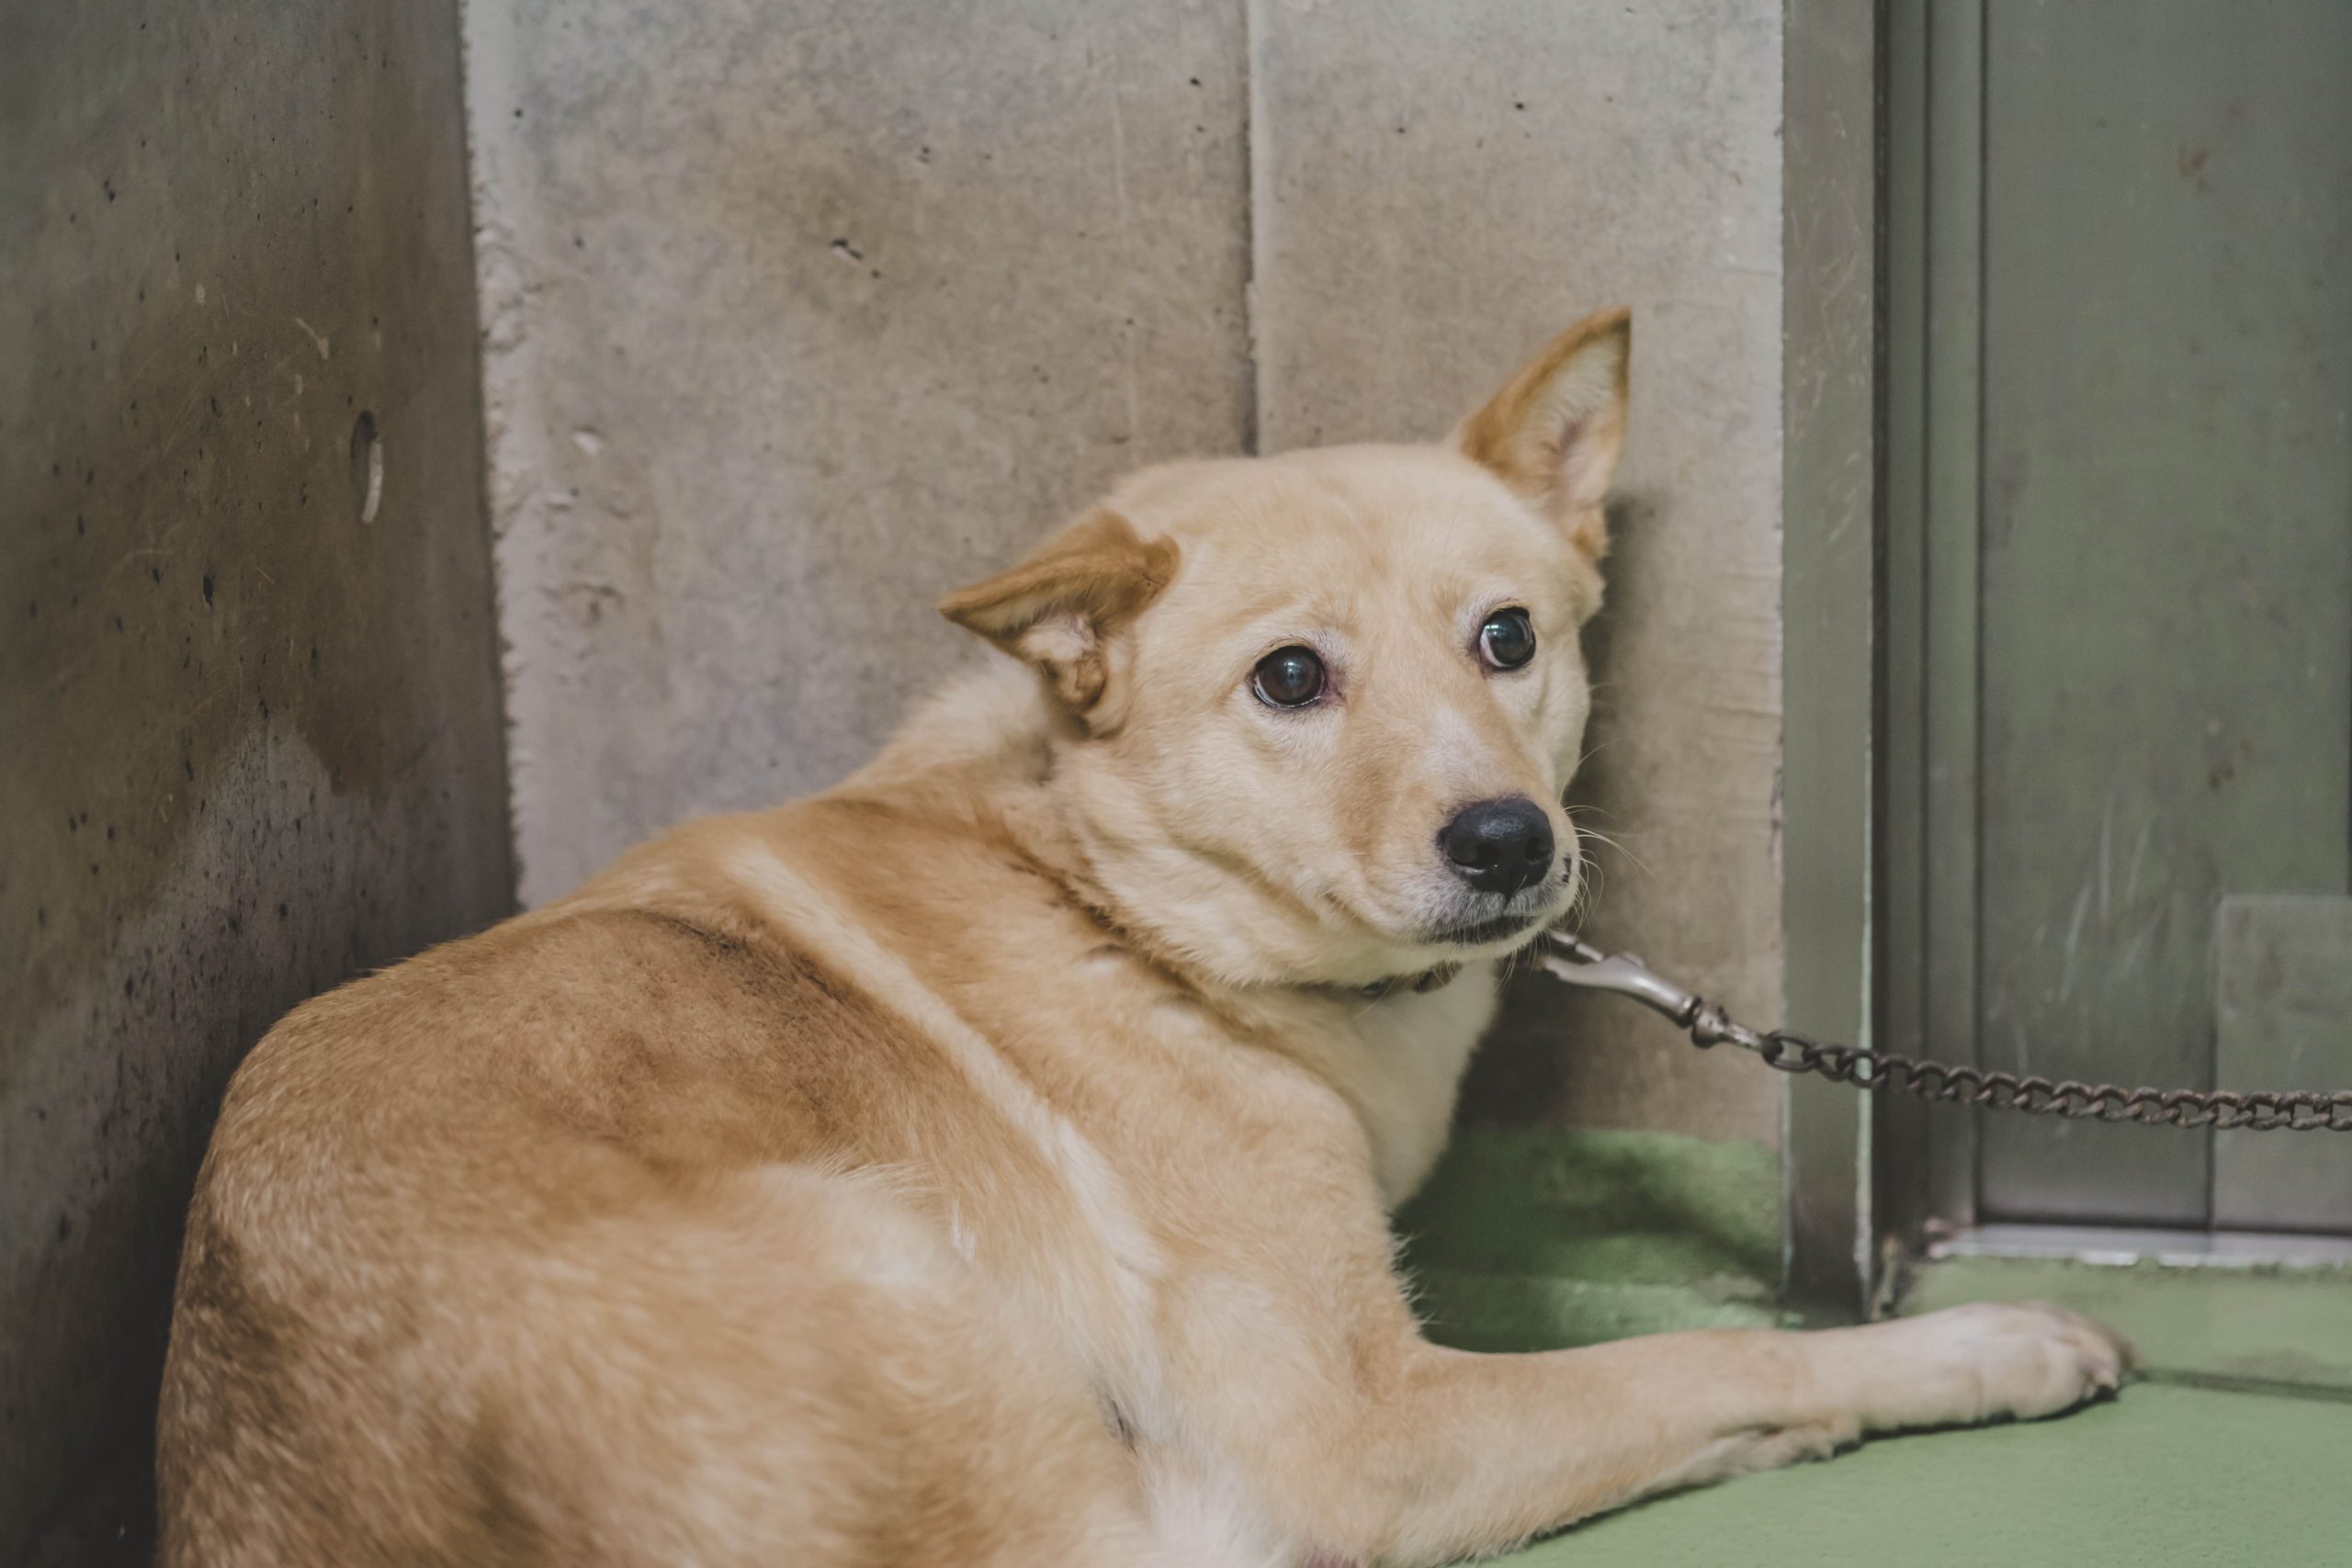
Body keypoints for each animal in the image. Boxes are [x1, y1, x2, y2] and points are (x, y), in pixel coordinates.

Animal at [152, 310, 2135, 1568]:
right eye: (1289, 678)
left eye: (1507, 638)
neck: (1116, 905)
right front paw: (1973, 1351)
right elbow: (1704, 1355)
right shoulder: (1360, 1426)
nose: (1511, 841)